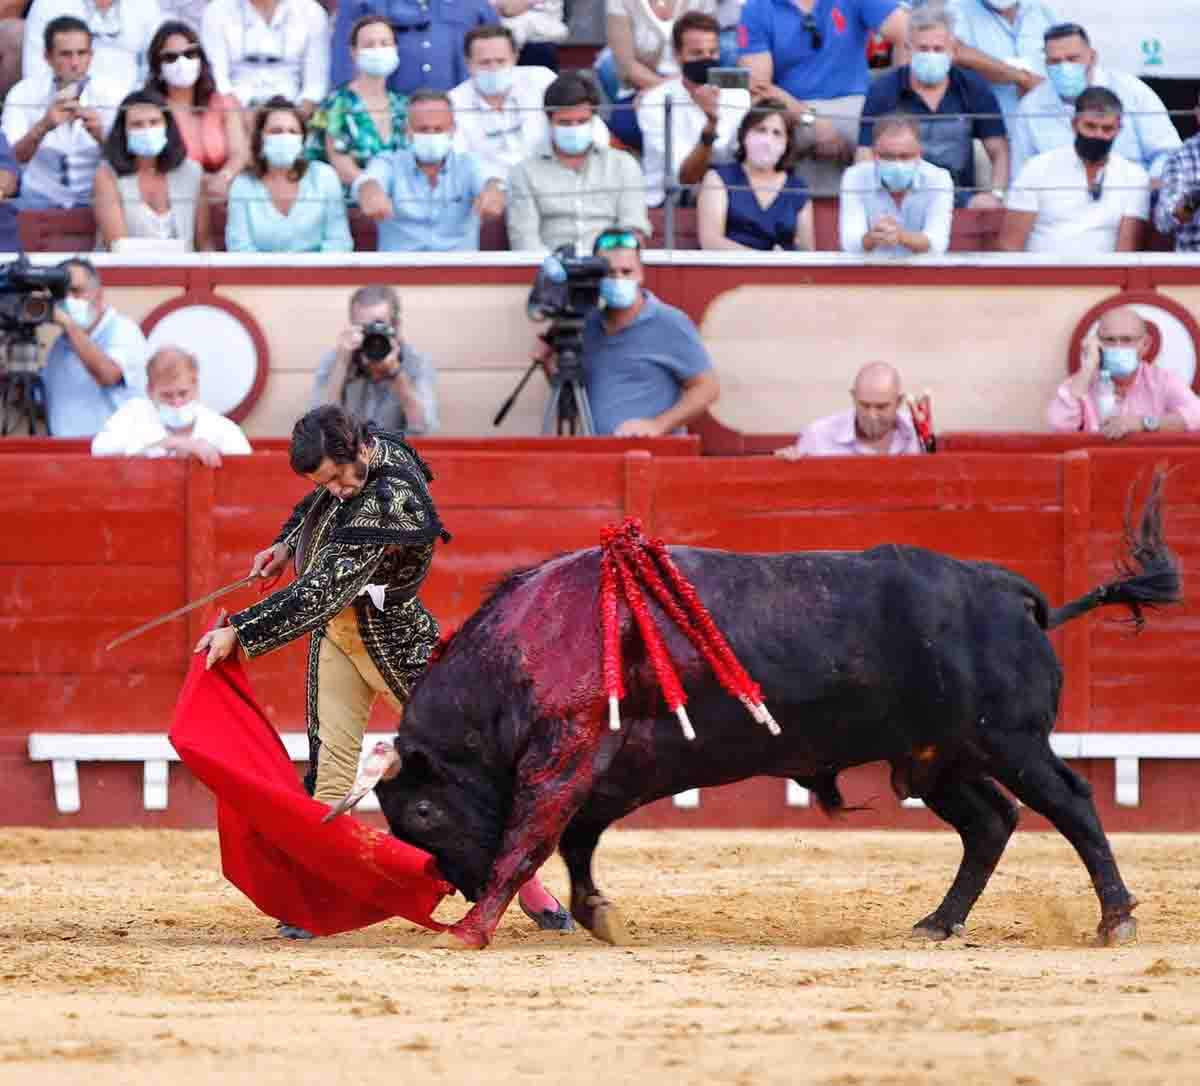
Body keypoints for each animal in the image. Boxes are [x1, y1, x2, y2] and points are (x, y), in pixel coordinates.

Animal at [360, 475, 1176, 940]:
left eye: (424, 812)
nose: (459, 888)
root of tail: (1008, 590)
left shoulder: (563, 759)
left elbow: (529, 840)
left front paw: (472, 928)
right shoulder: (606, 773)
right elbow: (576, 841)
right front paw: (594, 914)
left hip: (1012, 739)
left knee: (1070, 802)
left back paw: (1115, 919)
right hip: (937, 758)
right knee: (991, 821)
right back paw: (938, 923)